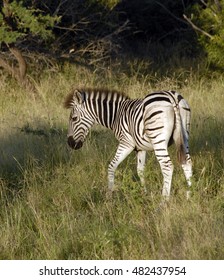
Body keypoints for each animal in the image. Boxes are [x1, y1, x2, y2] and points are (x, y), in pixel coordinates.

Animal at [64, 87, 192, 199]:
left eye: (74, 118)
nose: (70, 143)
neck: (115, 115)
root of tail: (171, 97)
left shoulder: (126, 143)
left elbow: (112, 166)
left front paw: (109, 196)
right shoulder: (140, 148)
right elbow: (140, 171)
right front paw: (144, 194)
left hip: (158, 140)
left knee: (167, 166)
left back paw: (163, 201)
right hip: (184, 135)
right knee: (187, 163)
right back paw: (190, 195)